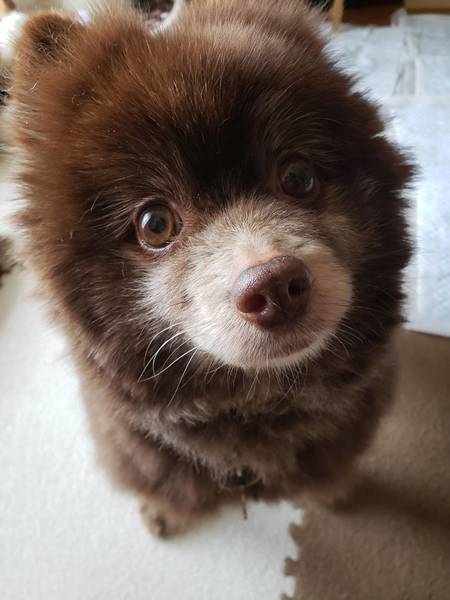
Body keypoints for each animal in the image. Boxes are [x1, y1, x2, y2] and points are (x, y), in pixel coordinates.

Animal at [5, 0, 412, 536]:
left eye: (297, 176)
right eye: (155, 224)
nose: (274, 284)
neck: (255, 401)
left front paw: (335, 492)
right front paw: (160, 512)